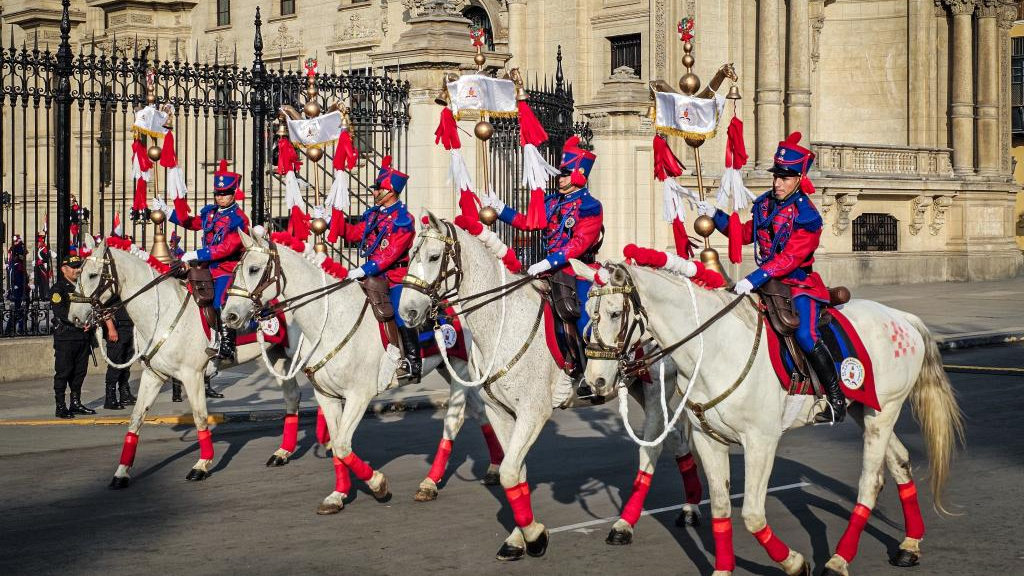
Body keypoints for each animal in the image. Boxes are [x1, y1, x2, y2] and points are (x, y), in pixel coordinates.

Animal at [69, 233, 303, 483]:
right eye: (79, 273)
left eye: (93, 275)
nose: (74, 316)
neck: (162, 310)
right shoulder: (153, 375)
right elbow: (136, 418)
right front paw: (122, 471)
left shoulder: (193, 375)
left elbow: (200, 416)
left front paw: (202, 464)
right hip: (278, 356)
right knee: (292, 397)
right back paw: (282, 452)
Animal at [221, 228, 503, 510]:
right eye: (235, 269)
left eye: (254, 269)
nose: (229, 316)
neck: (329, 321)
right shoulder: (326, 396)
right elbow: (337, 444)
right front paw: (338, 494)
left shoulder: (359, 395)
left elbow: (343, 445)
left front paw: (378, 484)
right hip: (449, 367)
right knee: (480, 410)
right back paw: (495, 466)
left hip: (459, 367)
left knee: (454, 420)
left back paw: (430, 483)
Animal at [397, 213, 704, 557]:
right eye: (409, 256)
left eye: (433, 257)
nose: (407, 311)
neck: (503, 323)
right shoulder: (501, 413)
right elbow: (515, 472)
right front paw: (518, 537)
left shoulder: (534, 411)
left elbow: (509, 472)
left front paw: (534, 536)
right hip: (640, 388)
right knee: (676, 438)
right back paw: (690, 507)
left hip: (655, 390)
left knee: (652, 448)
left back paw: (624, 525)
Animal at [573, 260, 962, 573]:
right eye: (586, 311)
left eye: (613, 313)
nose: (594, 381)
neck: (714, 348)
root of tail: (901, 318)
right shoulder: (708, 439)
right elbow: (720, 509)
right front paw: (723, 569)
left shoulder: (761, 442)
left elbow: (752, 514)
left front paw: (795, 563)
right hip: (866, 410)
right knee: (900, 462)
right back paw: (909, 544)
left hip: (883, 415)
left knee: (870, 482)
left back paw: (838, 560)